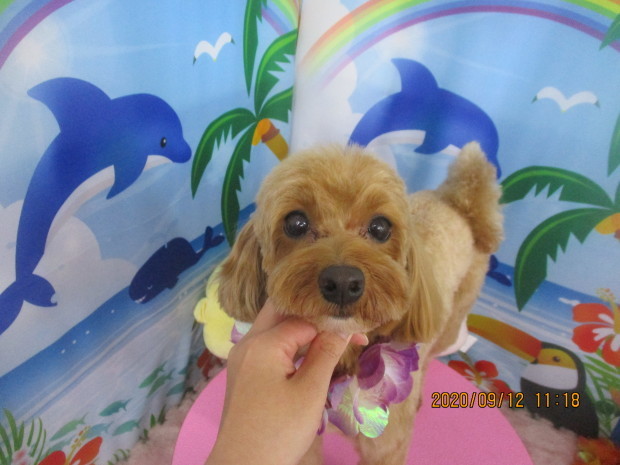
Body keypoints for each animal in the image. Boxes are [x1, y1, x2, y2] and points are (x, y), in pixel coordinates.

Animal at [216, 142, 503, 464]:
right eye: (296, 223)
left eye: (380, 227)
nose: (342, 283)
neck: (344, 359)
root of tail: (457, 203)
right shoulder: (298, 439)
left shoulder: (387, 448)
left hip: (454, 313)